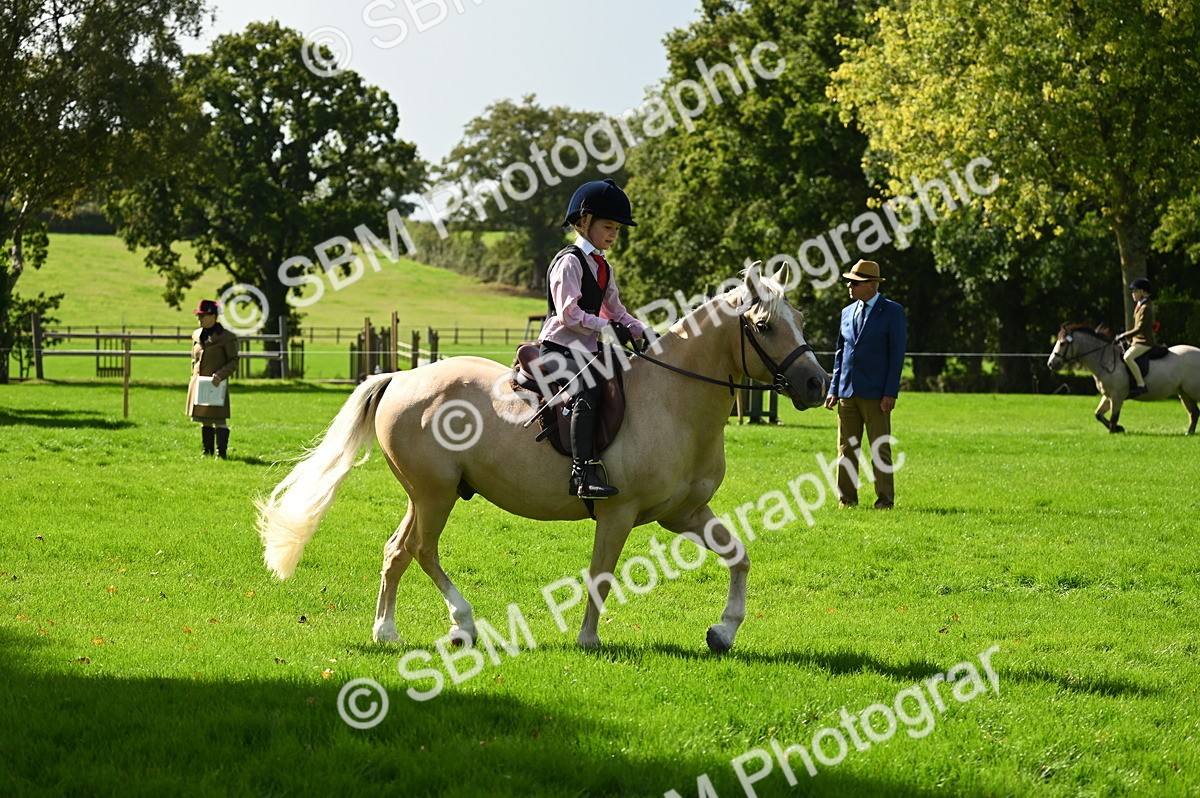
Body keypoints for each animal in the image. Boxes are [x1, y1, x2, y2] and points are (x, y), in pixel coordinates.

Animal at [256, 265, 831, 653]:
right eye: (764, 326)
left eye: (801, 319)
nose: (816, 384)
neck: (674, 401)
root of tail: (400, 377)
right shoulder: (619, 513)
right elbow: (601, 575)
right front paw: (588, 640)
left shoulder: (682, 512)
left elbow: (739, 556)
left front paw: (723, 631)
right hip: (435, 495)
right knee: (421, 549)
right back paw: (462, 623)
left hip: (424, 496)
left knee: (397, 550)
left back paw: (387, 632)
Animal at [1047, 323, 1200, 435]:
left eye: (1062, 343)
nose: (1051, 364)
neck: (1106, 359)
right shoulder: (1108, 396)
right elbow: (1098, 414)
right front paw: (1119, 428)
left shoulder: (1117, 395)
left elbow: (1114, 417)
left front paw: (1114, 431)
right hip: (1184, 393)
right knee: (1194, 413)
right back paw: (1189, 433)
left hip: (1192, 391)